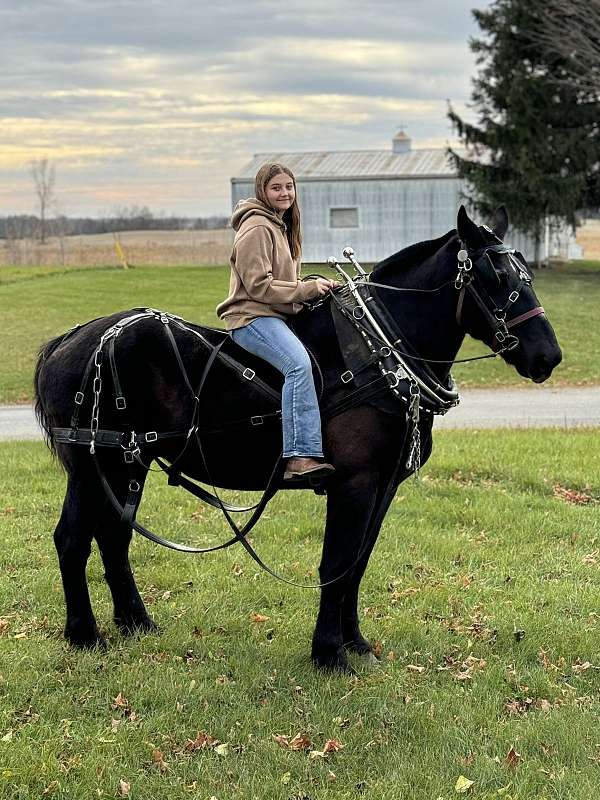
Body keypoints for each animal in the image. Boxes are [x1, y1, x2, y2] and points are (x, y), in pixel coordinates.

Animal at [35, 205, 560, 668]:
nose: (548, 356)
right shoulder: (354, 484)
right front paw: (328, 653)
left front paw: (355, 643)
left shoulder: (383, 486)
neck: (377, 354)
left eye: (526, 274)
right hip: (94, 465)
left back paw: (135, 622)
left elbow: (357, 564)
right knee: (73, 539)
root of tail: (70, 340)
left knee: (114, 535)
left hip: (128, 462)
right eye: (493, 277)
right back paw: (84, 634)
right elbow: (336, 564)